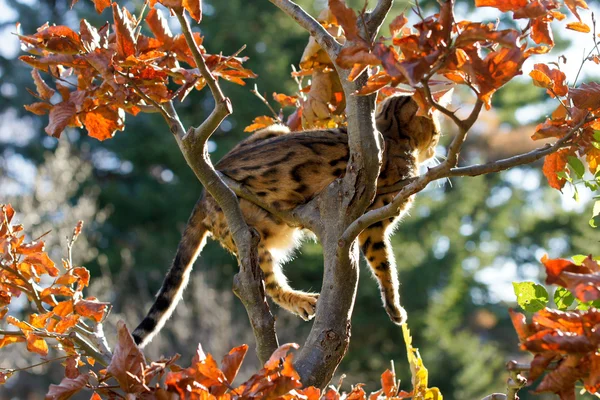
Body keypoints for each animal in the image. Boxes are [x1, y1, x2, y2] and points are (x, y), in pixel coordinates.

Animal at [132, 95, 440, 346]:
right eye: (435, 132)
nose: (437, 147)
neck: (387, 131)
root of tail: (203, 195)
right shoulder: (374, 224)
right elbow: (386, 268)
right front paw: (395, 310)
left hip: (275, 131)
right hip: (251, 238)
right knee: (270, 285)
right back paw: (303, 301)